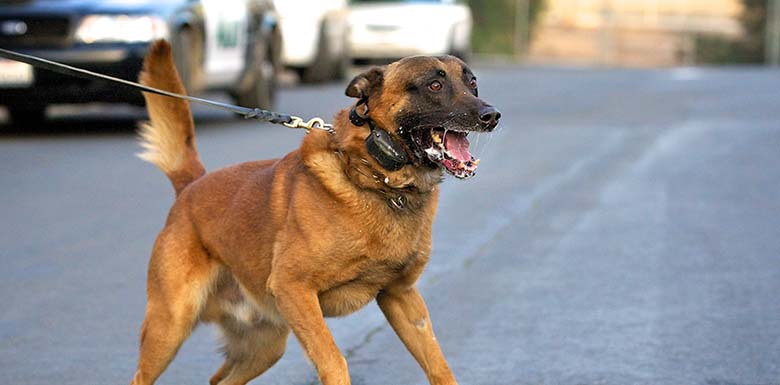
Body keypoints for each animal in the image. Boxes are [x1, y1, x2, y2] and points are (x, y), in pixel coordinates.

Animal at [130, 39, 500, 385]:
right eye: (434, 85)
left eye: (473, 84)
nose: (492, 115)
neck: (377, 180)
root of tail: (191, 186)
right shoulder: (295, 289)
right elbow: (334, 360)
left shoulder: (402, 298)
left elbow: (438, 363)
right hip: (170, 325)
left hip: (265, 345)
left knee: (219, 379)